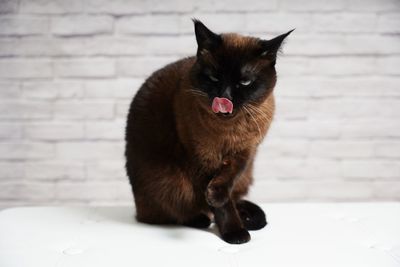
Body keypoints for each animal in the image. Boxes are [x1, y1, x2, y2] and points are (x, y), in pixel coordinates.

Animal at [126, 19, 294, 245]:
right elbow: (222, 205)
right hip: (168, 183)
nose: (225, 97)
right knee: (173, 211)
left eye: (244, 82)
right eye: (214, 78)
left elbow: (227, 183)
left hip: (246, 177)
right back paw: (201, 219)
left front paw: (222, 205)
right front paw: (235, 234)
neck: (230, 130)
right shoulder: (202, 158)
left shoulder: (245, 153)